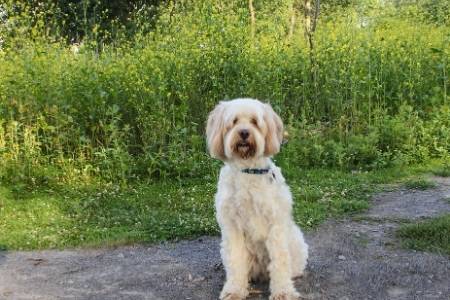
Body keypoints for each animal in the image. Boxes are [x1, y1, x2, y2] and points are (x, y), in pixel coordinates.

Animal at [206, 98, 308, 300]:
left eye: (254, 121)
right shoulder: (232, 227)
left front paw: (283, 291)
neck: (248, 170)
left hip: (295, 241)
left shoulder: (275, 225)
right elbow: (236, 260)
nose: (244, 133)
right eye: (234, 121)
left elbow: (279, 260)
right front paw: (234, 290)